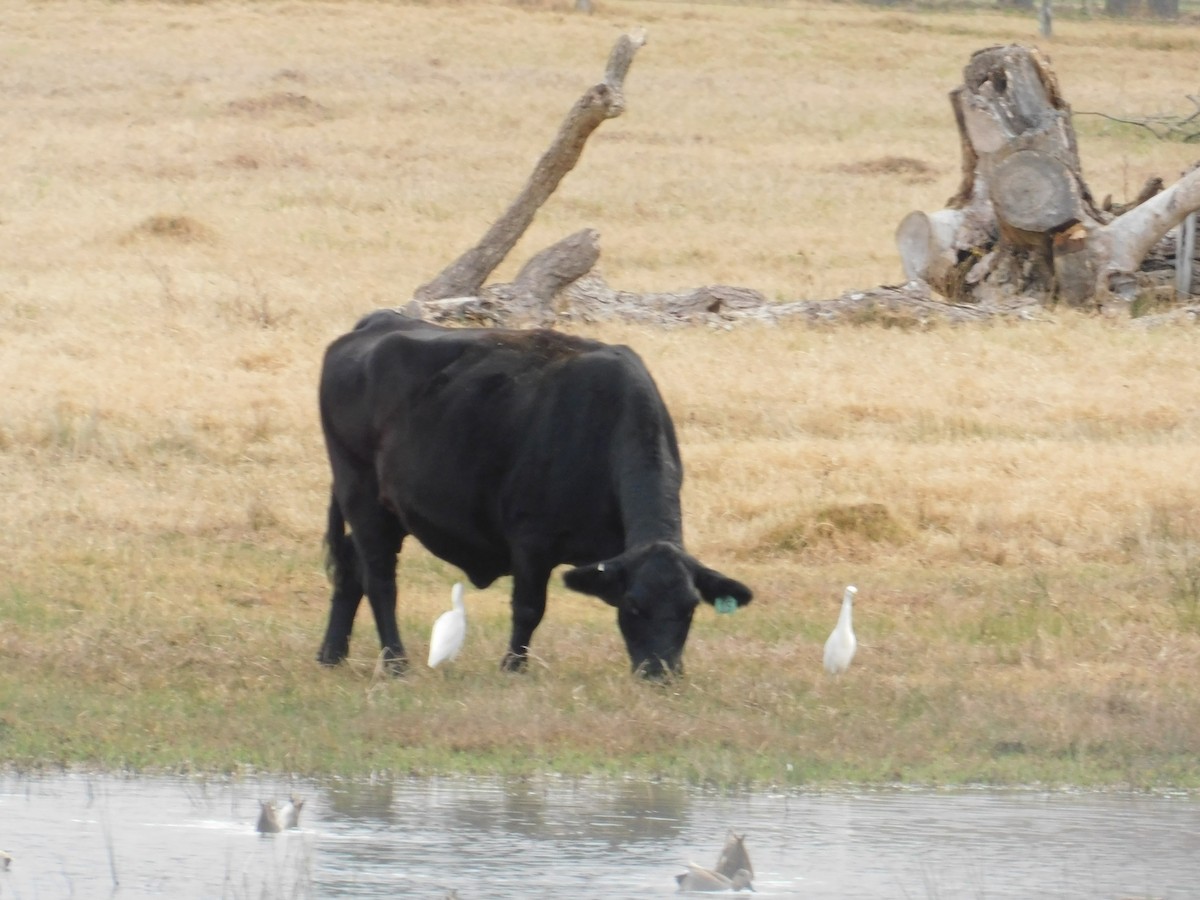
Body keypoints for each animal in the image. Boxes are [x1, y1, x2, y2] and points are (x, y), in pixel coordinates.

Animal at [319, 309, 748, 676]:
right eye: (634, 606)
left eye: (690, 609)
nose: (661, 673)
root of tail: (377, 322)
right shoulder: (530, 542)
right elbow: (528, 608)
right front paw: (513, 667)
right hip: (361, 497)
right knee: (379, 580)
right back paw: (395, 663)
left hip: (386, 511)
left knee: (351, 567)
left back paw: (332, 654)